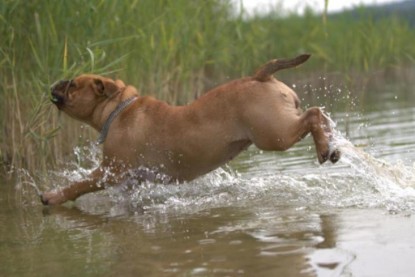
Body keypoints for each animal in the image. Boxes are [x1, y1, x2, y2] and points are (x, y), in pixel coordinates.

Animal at [41, 54, 342, 205]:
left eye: (73, 85)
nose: (56, 81)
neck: (118, 109)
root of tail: (260, 76)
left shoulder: (111, 170)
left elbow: (80, 184)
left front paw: (53, 196)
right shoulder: (129, 179)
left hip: (273, 134)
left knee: (313, 114)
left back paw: (324, 147)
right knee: (318, 115)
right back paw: (331, 145)